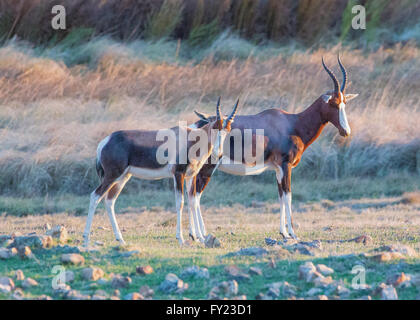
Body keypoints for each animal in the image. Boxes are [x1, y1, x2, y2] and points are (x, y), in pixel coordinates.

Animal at [83, 97, 240, 245]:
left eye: (227, 129)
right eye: (214, 126)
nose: (219, 153)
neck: (190, 140)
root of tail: (104, 142)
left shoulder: (191, 176)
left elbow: (193, 201)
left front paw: (199, 237)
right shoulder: (178, 174)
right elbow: (180, 202)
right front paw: (181, 238)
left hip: (123, 177)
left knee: (109, 201)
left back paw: (120, 239)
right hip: (112, 176)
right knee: (95, 196)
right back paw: (86, 239)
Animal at [187, 55, 358, 241]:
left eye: (345, 102)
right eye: (334, 103)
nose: (346, 131)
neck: (292, 124)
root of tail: (196, 125)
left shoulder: (277, 169)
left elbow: (281, 196)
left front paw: (283, 232)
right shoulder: (286, 166)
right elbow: (288, 196)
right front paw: (292, 233)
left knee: (192, 193)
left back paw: (196, 234)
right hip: (207, 168)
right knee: (195, 195)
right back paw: (199, 235)